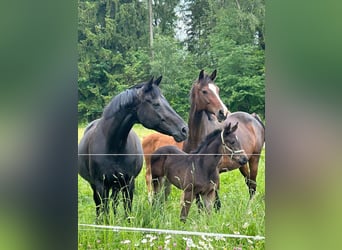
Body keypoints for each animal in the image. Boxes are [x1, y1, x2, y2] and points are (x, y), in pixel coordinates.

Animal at [78, 76, 188, 219]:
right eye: (156, 104)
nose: (184, 129)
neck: (114, 148)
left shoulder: (128, 184)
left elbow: (127, 211)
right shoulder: (101, 185)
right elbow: (104, 213)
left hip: (117, 185)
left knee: (114, 202)